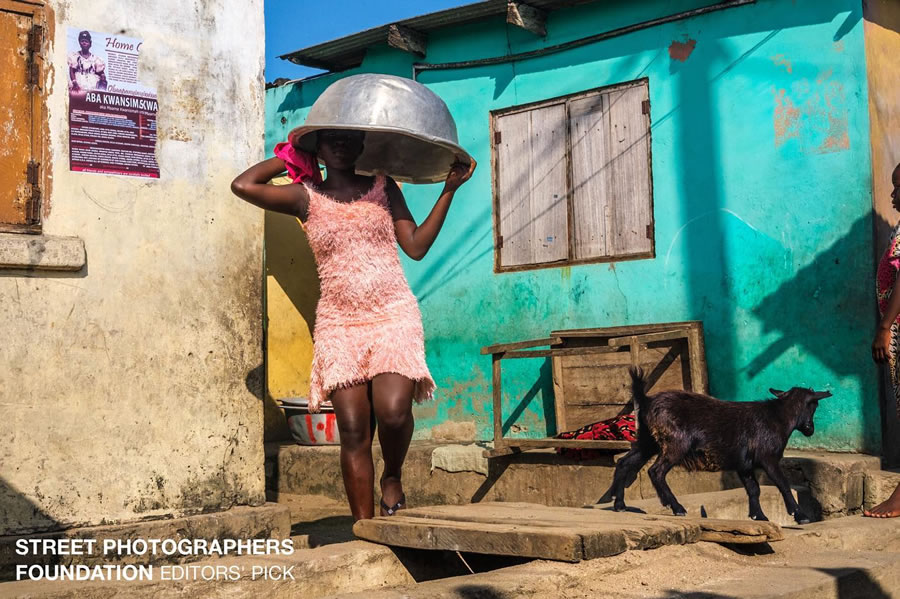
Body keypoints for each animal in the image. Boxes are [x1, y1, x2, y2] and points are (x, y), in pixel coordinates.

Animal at [600, 370, 832, 524]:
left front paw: (759, 516)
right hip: (675, 444)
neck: (777, 416)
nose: (810, 429)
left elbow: (754, 489)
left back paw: (620, 505)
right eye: (814, 405)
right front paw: (800, 516)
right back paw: (676, 507)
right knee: (656, 471)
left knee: (624, 463)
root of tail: (646, 400)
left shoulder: (744, 465)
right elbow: (783, 484)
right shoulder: (768, 458)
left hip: (647, 442)